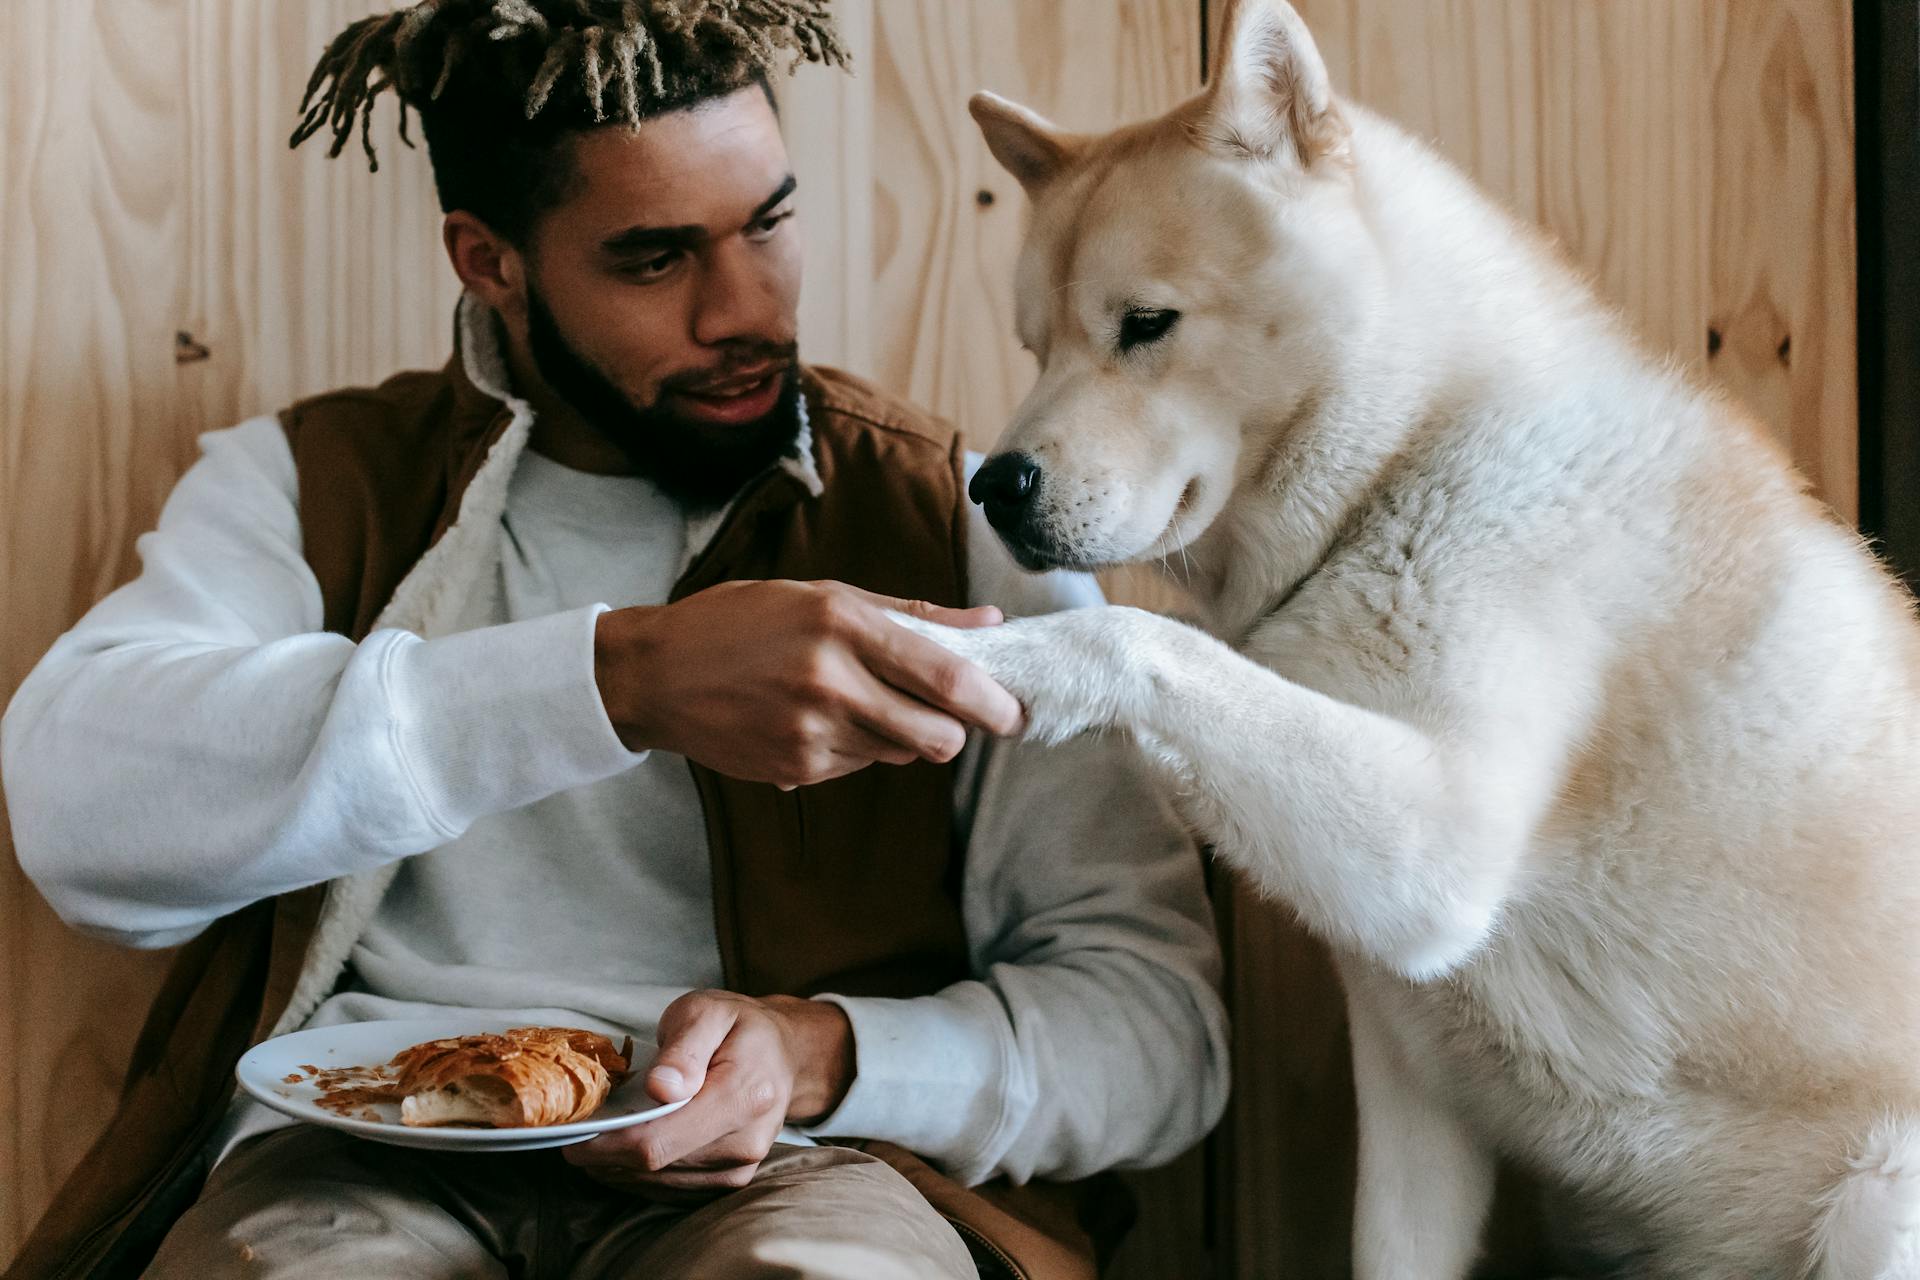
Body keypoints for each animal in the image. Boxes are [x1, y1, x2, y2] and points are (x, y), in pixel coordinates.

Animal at [894, 5, 1920, 1274]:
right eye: (1036, 345)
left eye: (1145, 326)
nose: (993, 485)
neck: (1413, 455)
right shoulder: (1409, 1076)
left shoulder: (1437, 843)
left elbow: (1140, 641)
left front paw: (981, 656)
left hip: (1883, 1187)